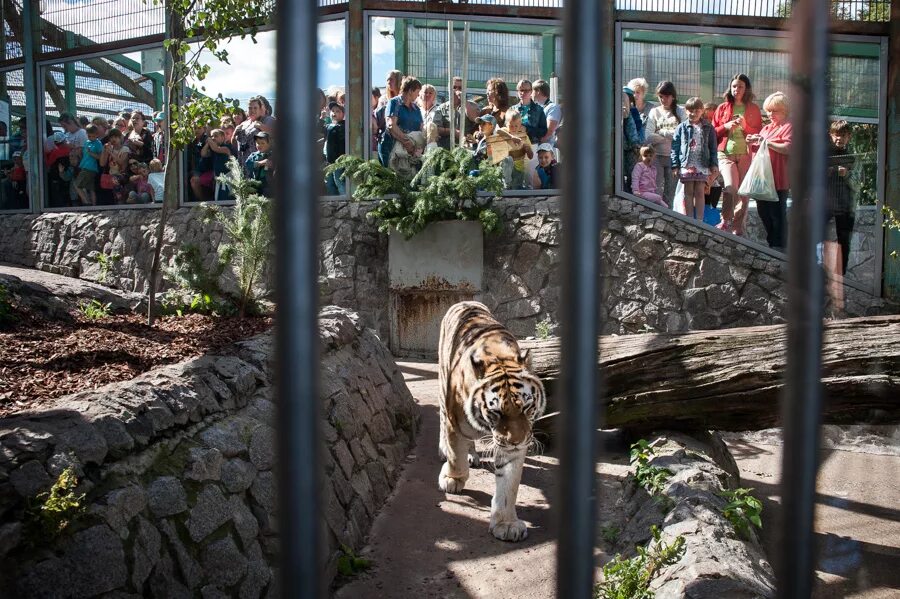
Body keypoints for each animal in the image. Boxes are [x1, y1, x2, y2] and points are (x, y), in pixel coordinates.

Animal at [438, 302, 544, 540]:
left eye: (526, 407)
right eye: (497, 412)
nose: (517, 441)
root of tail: (464, 302)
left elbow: (509, 483)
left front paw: (506, 524)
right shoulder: (453, 423)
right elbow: (455, 455)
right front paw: (452, 479)